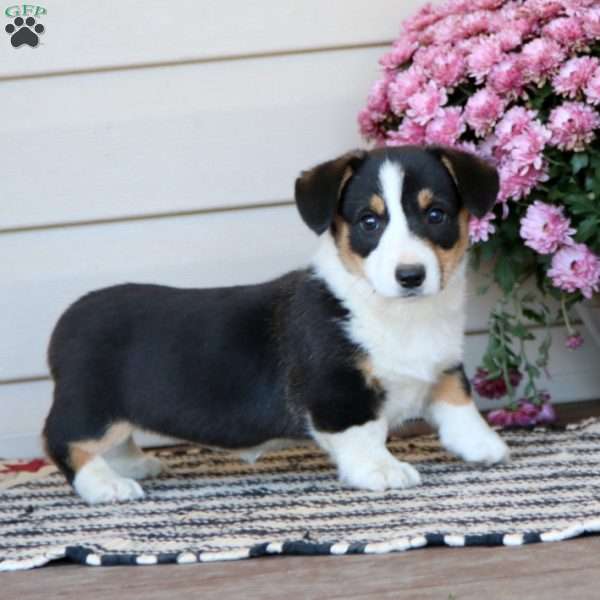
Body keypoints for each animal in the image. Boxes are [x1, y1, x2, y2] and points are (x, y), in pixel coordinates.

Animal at [44, 146, 508, 506]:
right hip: (92, 405)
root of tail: (65, 322)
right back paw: (106, 485)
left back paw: (133, 464)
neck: (402, 315)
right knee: (63, 440)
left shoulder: (444, 365)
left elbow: (459, 404)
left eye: (436, 214)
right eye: (369, 222)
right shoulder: (339, 390)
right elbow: (364, 434)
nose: (410, 276)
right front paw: (382, 470)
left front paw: (484, 445)